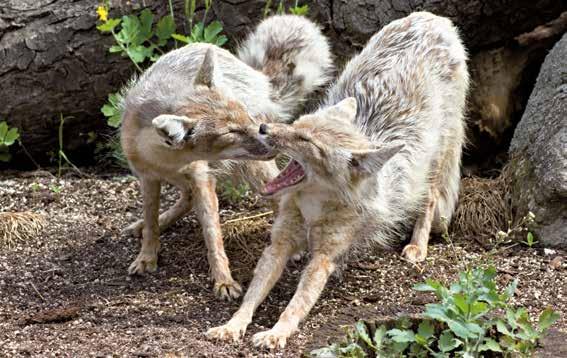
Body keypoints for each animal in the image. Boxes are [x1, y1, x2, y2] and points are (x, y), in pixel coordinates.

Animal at [120, 14, 332, 300]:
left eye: (244, 117)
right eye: (230, 133)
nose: (269, 138)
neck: (164, 159)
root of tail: (255, 75)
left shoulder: (201, 178)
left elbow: (213, 234)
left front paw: (223, 280)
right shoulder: (148, 177)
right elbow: (151, 218)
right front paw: (147, 254)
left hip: (253, 171)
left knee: (281, 198)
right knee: (185, 199)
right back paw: (146, 224)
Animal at [206, 11, 468, 350]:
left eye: (306, 141)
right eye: (298, 125)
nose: (264, 128)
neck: (313, 210)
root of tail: (432, 18)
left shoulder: (322, 258)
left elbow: (294, 306)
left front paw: (277, 333)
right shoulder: (278, 245)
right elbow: (251, 297)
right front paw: (232, 326)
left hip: (434, 162)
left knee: (430, 199)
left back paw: (416, 246)